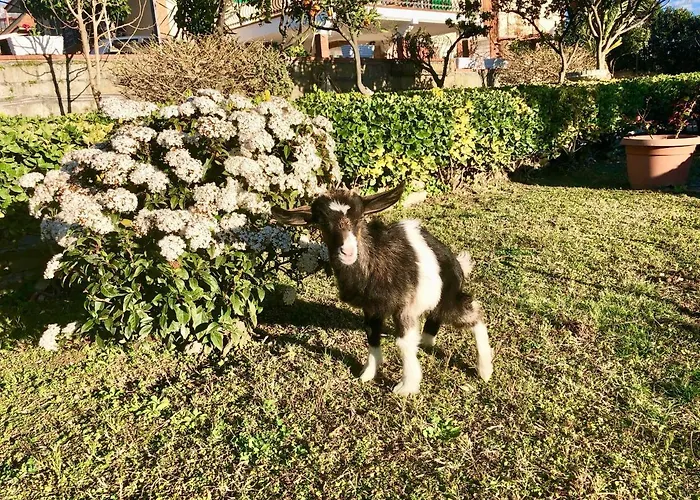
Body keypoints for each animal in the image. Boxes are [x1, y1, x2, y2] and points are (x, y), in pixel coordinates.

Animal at [271, 182, 493, 395]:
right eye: (322, 223)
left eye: (360, 218)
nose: (348, 251)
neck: (373, 263)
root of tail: (456, 261)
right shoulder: (371, 308)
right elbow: (372, 335)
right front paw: (367, 373)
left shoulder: (404, 307)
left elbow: (403, 342)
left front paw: (406, 387)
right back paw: (427, 342)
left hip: (448, 298)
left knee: (474, 312)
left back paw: (485, 370)